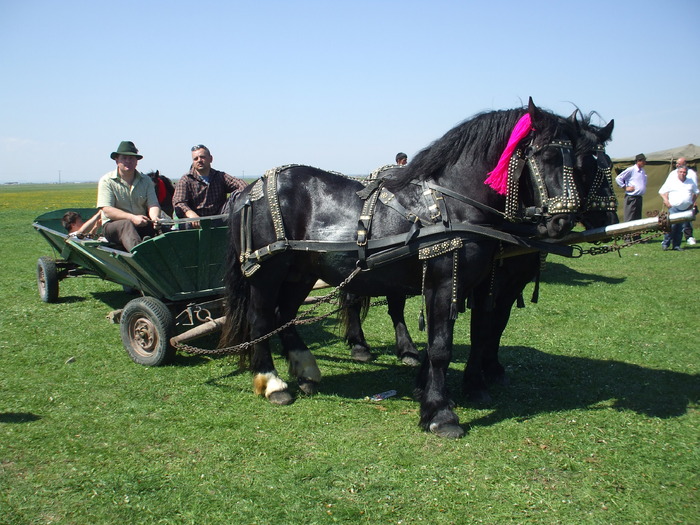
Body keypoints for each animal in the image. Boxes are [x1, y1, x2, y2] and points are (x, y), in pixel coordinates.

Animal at [223, 98, 592, 438]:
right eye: (546, 157)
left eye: (578, 161)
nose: (563, 221)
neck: (453, 203)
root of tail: (248, 190)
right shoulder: (442, 283)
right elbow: (442, 347)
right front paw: (441, 415)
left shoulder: (472, 284)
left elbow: (468, 336)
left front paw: (432, 393)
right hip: (268, 270)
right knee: (261, 318)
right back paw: (273, 383)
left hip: (301, 273)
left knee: (284, 314)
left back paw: (305, 371)